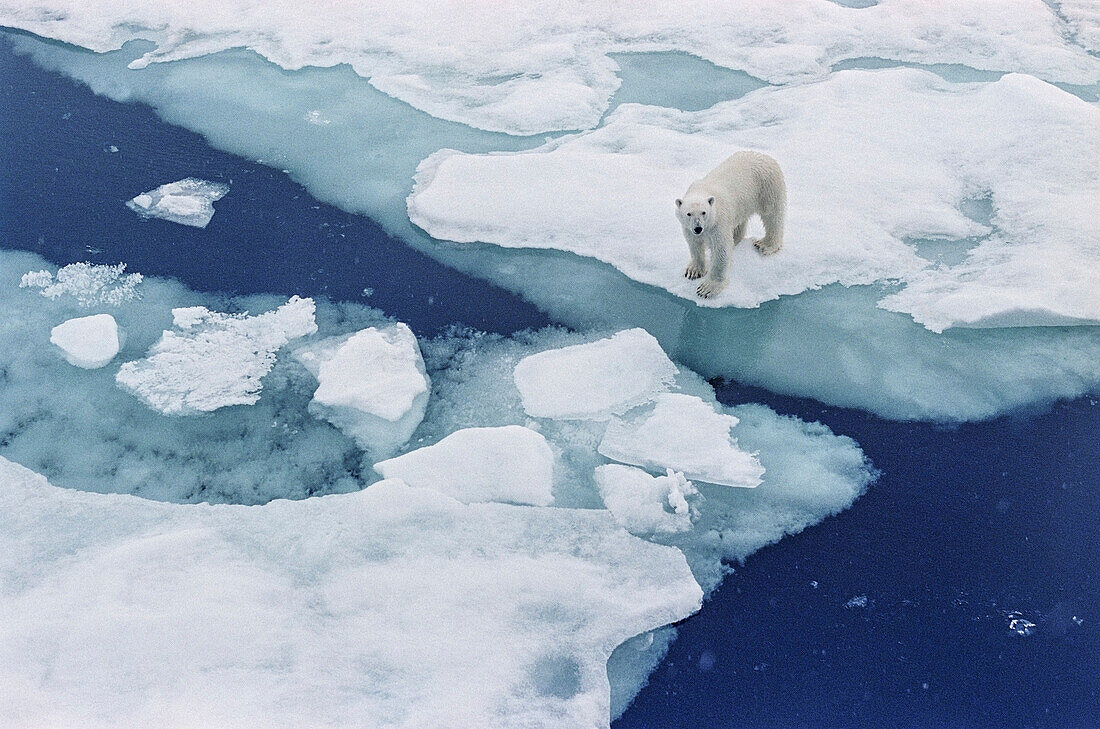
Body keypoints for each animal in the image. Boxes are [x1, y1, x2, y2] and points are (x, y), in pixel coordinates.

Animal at [673, 150, 787, 299]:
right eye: (688, 214)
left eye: (704, 212)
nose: (698, 228)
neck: (702, 191)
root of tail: (766, 156)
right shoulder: (688, 228)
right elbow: (694, 244)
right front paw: (693, 271)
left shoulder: (718, 222)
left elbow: (721, 250)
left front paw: (707, 288)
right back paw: (737, 239)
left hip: (768, 187)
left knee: (772, 216)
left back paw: (765, 244)